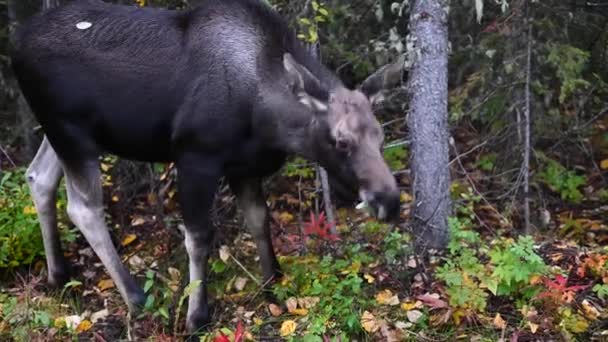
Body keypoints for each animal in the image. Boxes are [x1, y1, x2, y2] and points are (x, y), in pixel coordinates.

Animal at [10, 0, 404, 332]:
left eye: (381, 136)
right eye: (341, 141)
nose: (389, 200)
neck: (267, 121)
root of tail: (15, 49)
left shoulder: (244, 167)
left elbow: (259, 219)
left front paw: (272, 283)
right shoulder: (195, 157)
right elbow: (199, 237)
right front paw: (197, 316)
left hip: (62, 133)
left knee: (38, 176)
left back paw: (58, 275)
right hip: (71, 133)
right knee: (83, 208)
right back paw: (135, 297)